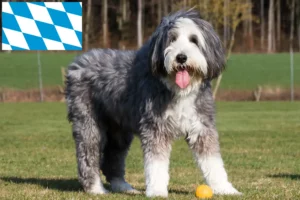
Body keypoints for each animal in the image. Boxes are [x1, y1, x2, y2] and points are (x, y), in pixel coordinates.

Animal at [65, 9, 241, 197]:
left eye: (194, 39)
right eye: (172, 39)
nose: (181, 57)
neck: (178, 90)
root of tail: (78, 62)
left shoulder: (201, 126)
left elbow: (213, 161)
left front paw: (225, 188)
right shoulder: (156, 127)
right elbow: (156, 164)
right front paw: (157, 190)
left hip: (119, 130)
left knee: (113, 158)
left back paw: (123, 187)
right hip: (89, 122)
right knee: (88, 156)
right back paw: (96, 188)